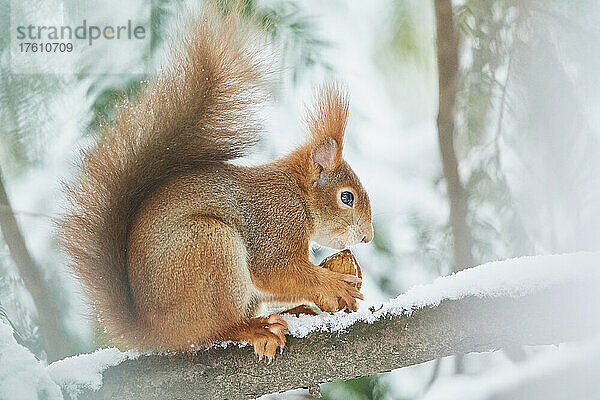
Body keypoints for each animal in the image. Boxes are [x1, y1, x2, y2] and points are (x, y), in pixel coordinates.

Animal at [59, 4, 370, 360]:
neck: (296, 193)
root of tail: (158, 333)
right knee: (217, 329)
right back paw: (255, 328)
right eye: (346, 197)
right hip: (209, 247)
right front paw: (334, 284)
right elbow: (274, 271)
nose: (367, 238)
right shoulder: (275, 222)